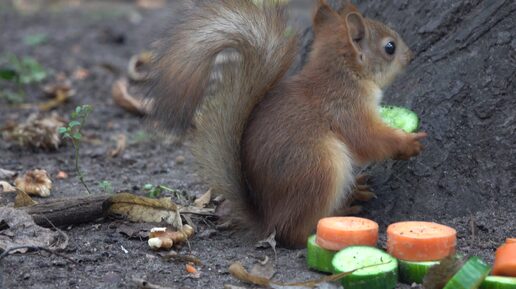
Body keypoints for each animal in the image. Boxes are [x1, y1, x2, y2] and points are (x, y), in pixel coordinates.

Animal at [150, 0, 428, 248]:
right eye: (390, 47)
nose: (411, 55)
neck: (343, 74)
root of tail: (268, 219)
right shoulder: (344, 109)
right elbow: (368, 139)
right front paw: (408, 144)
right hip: (320, 169)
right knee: (293, 234)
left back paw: (353, 192)